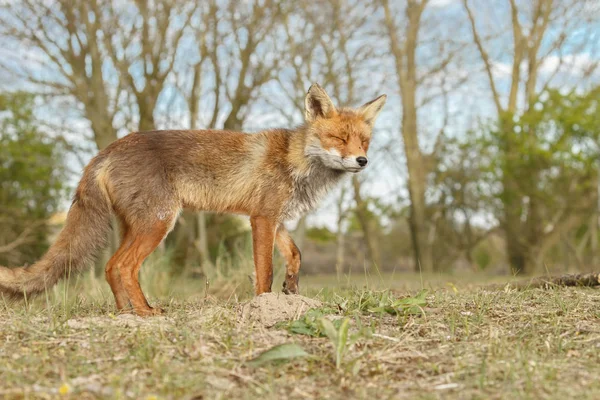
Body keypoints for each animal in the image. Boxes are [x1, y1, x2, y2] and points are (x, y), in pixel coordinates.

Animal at [0, 84, 384, 316]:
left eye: (364, 141)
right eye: (338, 139)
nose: (362, 161)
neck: (297, 160)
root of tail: (107, 150)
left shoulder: (274, 217)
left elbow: (296, 254)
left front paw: (291, 288)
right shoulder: (261, 218)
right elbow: (265, 270)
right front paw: (264, 306)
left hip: (133, 226)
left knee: (110, 266)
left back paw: (127, 314)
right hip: (159, 222)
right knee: (123, 266)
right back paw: (146, 313)